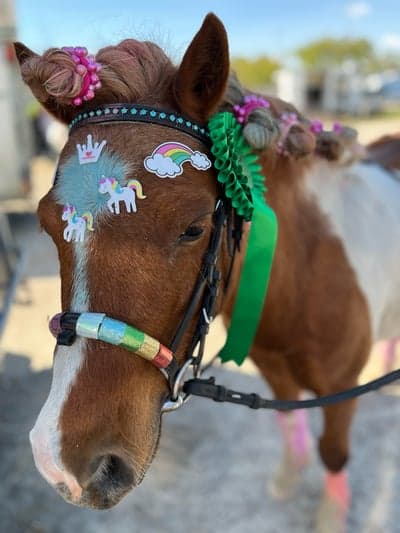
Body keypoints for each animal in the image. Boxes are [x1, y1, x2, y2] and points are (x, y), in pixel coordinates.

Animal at [14, 14, 388, 528]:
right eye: (48, 225)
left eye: (194, 229)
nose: (64, 463)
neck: (308, 273)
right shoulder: (274, 368)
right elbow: (288, 419)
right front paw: (287, 479)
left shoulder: (341, 391)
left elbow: (332, 451)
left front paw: (329, 516)